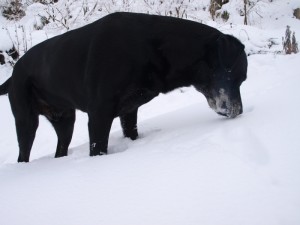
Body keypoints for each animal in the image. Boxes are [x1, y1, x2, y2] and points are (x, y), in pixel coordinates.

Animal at [1, 12, 247, 162]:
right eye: (239, 78)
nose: (240, 111)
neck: (153, 48)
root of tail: (13, 74)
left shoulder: (129, 110)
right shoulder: (99, 114)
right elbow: (98, 147)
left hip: (65, 120)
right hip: (26, 120)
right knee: (23, 152)